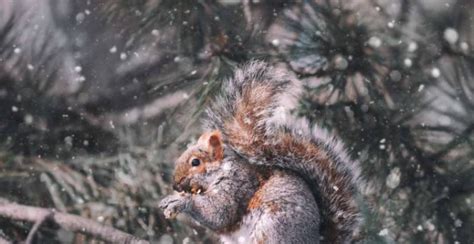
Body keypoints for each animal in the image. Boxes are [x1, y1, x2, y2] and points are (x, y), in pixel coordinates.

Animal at [159, 61, 362, 244]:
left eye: (195, 162)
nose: (175, 185)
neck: (222, 169)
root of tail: (316, 239)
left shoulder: (236, 185)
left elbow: (219, 214)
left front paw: (181, 202)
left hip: (273, 227)